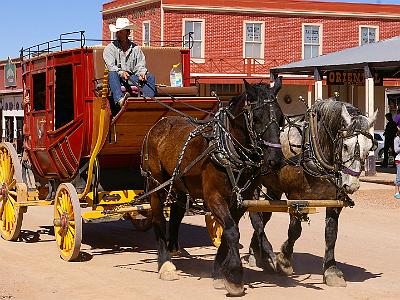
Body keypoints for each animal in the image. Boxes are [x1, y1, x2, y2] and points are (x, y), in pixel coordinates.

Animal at [142, 78, 282, 296]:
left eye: (282, 119)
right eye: (257, 118)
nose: (276, 160)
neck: (226, 148)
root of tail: (159, 124)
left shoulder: (239, 201)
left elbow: (228, 231)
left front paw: (218, 273)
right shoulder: (213, 197)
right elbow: (232, 232)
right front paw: (234, 277)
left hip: (179, 185)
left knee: (176, 213)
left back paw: (174, 247)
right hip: (156, 184)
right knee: (158, 218)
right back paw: (165, 263)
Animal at [248, 99, 376, 288]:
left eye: (369, 149)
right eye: (346, 146)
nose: (351, 185)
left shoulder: (335, 199)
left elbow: (331, 233)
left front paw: (331, 270)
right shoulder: (296, 198)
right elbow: (295, 230)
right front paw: (284, 260)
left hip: (274, 187)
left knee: (264, 216)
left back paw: (257, 253)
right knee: (255, 216)